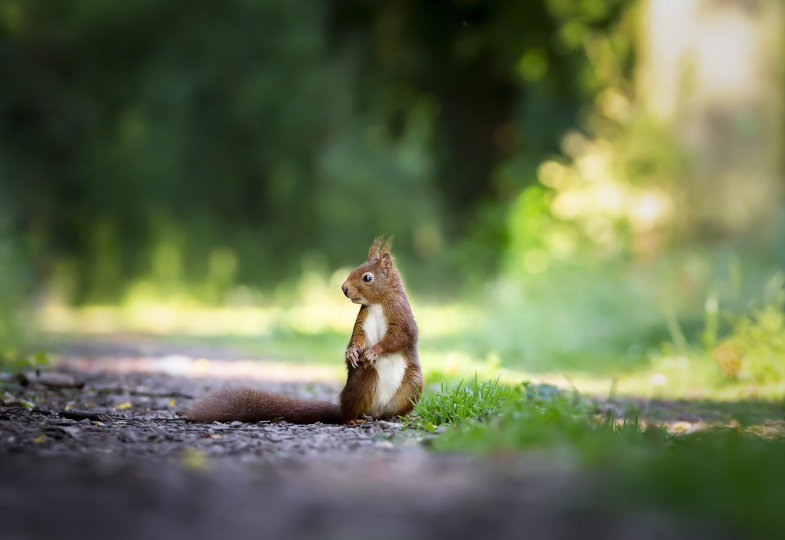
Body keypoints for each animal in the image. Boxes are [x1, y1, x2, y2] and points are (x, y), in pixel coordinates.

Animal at [187, 238, 422, 424]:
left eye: (367, 277)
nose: (344, 288)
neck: (377, 304)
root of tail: (375, 411)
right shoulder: (362, 320)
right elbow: (357, 337)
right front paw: (352, 352)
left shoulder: (401, 317)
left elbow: (400, 337)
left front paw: (374, 351)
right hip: (363, 381)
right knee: (349, 411)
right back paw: (352, 419)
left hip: (413, 384)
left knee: (393, 408)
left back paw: (398, 417)